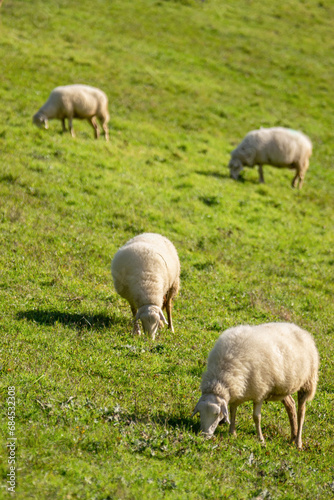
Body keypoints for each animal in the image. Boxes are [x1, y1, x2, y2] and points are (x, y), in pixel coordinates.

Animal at [192, 322, 320, 452]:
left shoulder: (260, 393)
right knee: (291, 405)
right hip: (283, 389)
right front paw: (232, 433)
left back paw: (298, 442)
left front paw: (261, 439)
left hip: (307, 382)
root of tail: (300, 329)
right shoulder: (238, 392)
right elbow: (233, 411)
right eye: (199, 413)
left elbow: (256, 417)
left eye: (217, 414)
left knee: (301, 413)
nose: (204, 435)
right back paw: (292, 437)